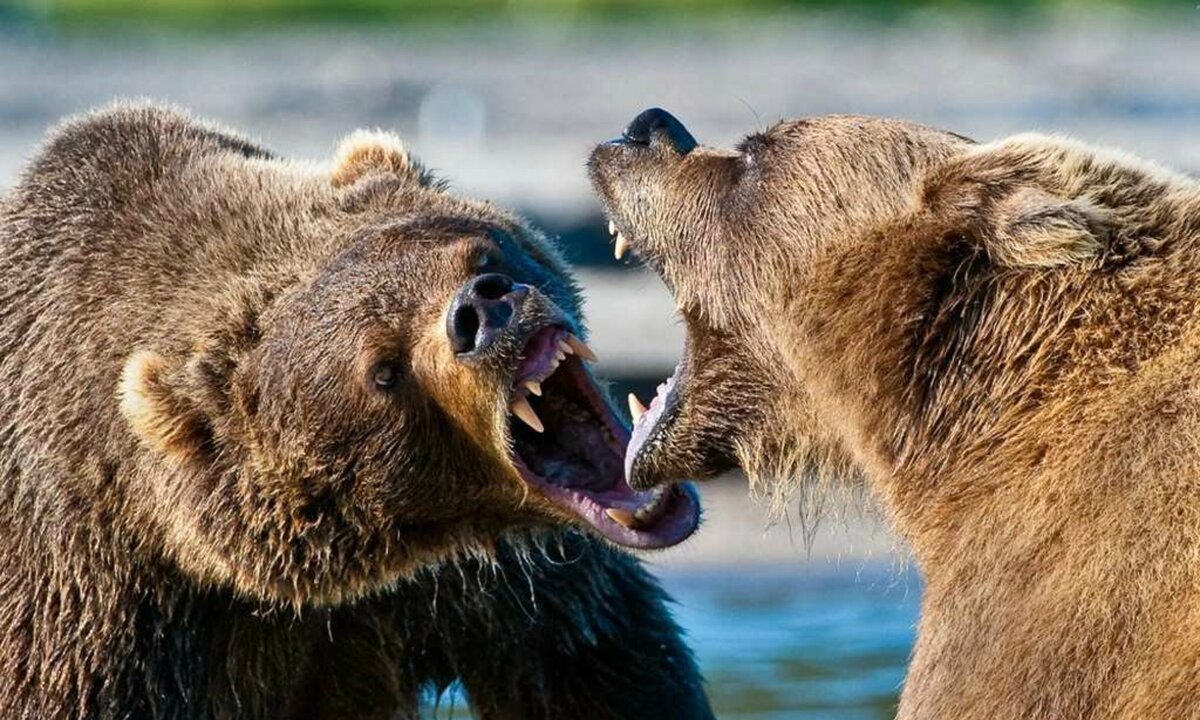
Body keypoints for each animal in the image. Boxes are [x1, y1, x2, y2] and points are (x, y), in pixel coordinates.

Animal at [2, 105, 710, 720]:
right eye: (383, 369)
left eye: (481, 255)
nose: (482, 312)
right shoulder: (96, 618)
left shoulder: (493, 584)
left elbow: (598, 667)